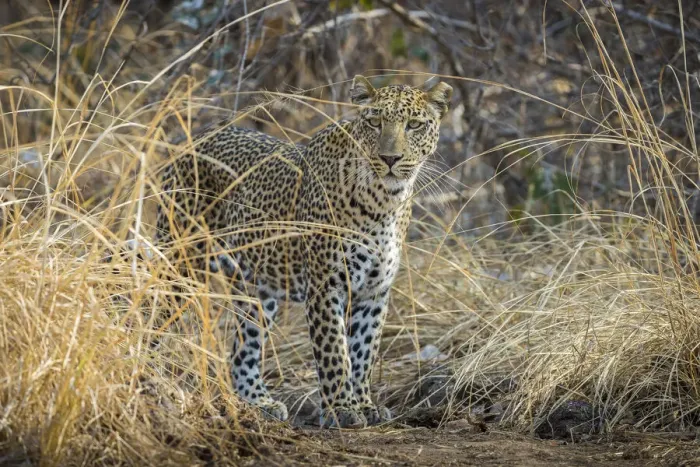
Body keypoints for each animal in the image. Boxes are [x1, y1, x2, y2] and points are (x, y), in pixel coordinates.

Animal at [154, 75, 453, 428]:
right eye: (375, 122)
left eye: (414, 125)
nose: (390, 158)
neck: (385, 202)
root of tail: (193, 140)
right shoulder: (326, 285)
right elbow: (335, 351)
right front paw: (341, 409)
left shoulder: (375, 292)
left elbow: (364, 351)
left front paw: (365, 405)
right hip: (179, 262)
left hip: (257, 289)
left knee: (243, 349)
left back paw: (259, 402)